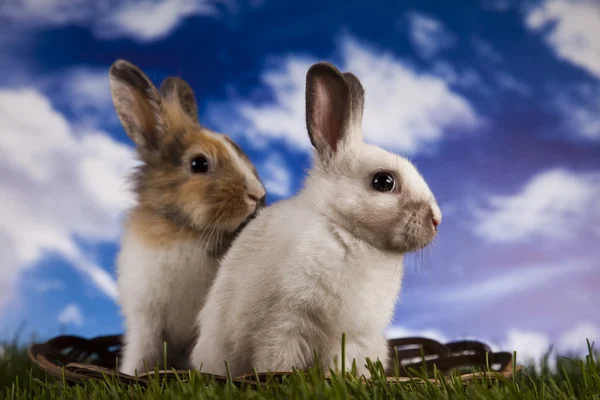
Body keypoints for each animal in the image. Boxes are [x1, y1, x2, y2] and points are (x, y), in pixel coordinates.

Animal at [191, 61, 440, 378]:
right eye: (384, 182)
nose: (437, 220)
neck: (346, 232)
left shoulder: (351, 341)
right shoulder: (281, 325)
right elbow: (277, 362)